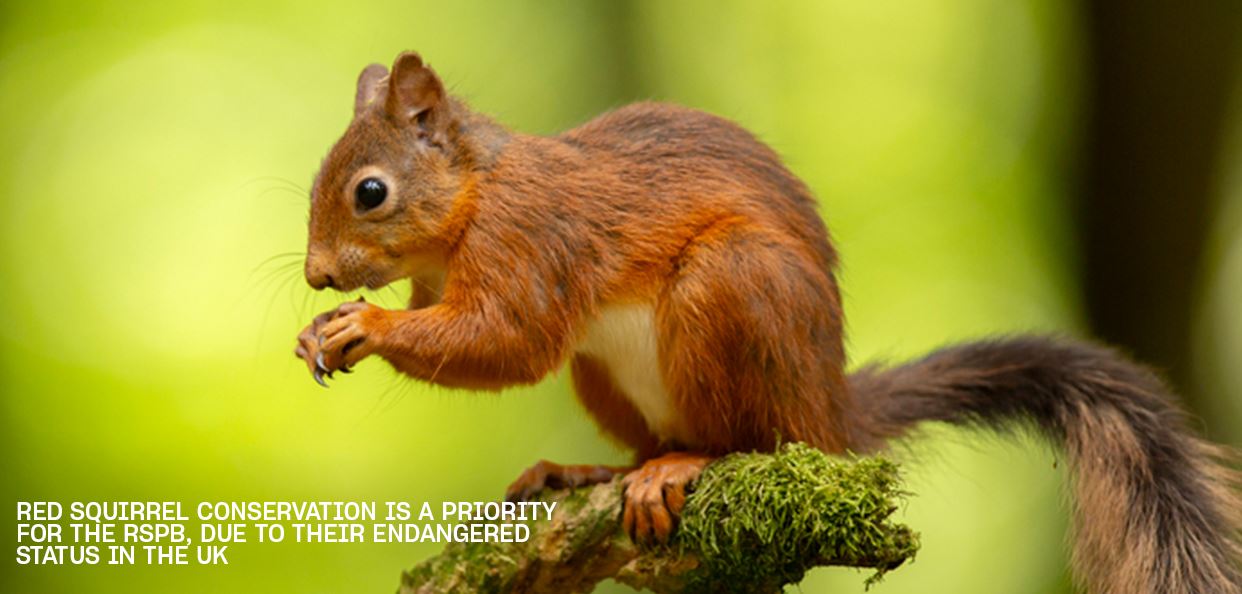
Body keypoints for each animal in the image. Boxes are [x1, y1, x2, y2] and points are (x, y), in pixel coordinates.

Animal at [293, 51, 1242, 593]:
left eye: (370, 192)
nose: (316, 276)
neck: (475, 195)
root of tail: (832, 411)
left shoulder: (534, 240)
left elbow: (509, 341)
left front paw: (360, 327)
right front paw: (323, 327)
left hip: (734, 289)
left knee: (753, 439)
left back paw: (683, 464)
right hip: (607, 374)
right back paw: (599, 469)